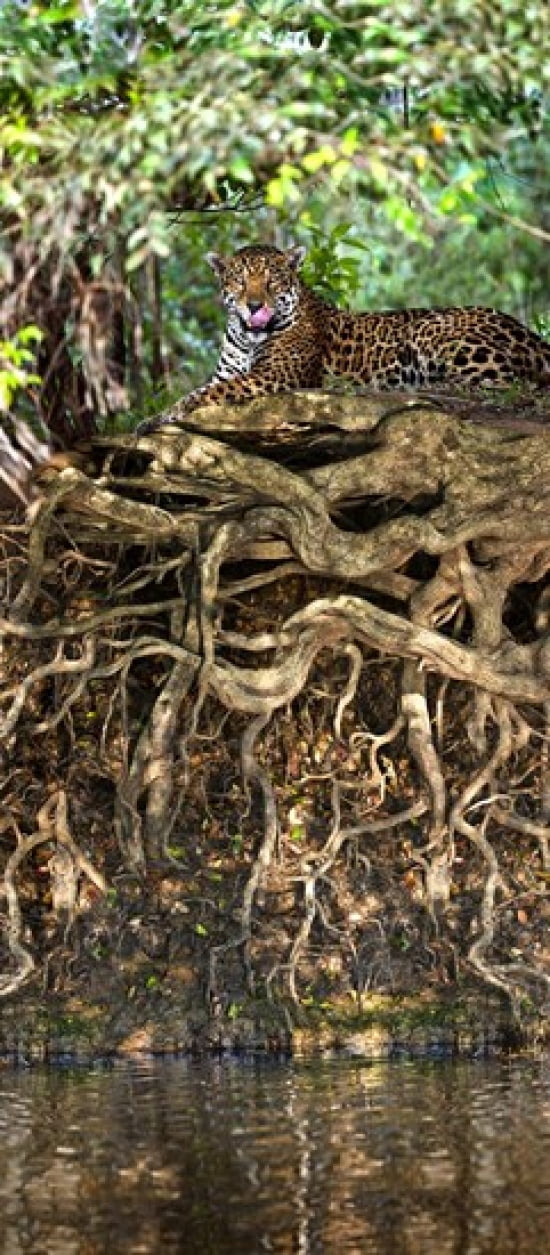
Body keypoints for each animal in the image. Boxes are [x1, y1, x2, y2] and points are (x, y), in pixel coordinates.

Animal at [137, 243, 550, 433]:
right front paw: (152, 417)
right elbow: (204, 387)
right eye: (239, 280)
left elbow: (202, 394)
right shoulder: (228, 372)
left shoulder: (273, 376)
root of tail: (524, 330)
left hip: (438, 332)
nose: (254, 305)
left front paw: (164, 416)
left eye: (272, 281)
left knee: (501, 385)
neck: (248, 335)